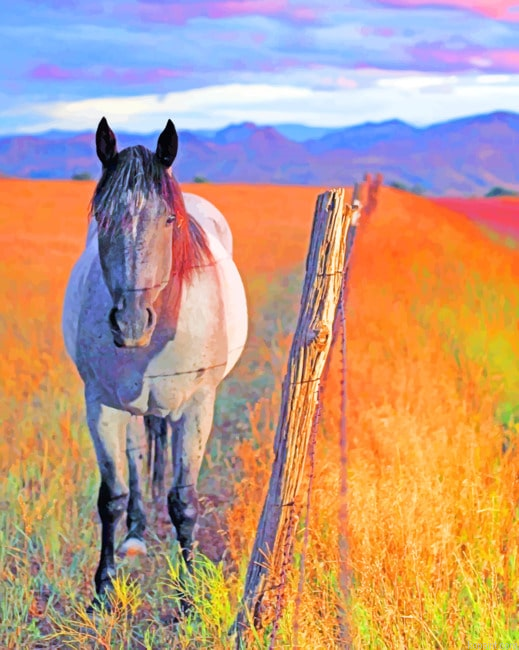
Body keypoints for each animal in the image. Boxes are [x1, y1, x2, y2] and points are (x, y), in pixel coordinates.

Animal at [62, 117, 248, 608]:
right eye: (101, 218)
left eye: (168, 219)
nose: (130, 322)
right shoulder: (100, 406)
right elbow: (111, 496)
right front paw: (103, 589)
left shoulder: (198, 408)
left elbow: (183, 501)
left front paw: (188, 593)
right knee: (136, 455)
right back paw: (136, 533)